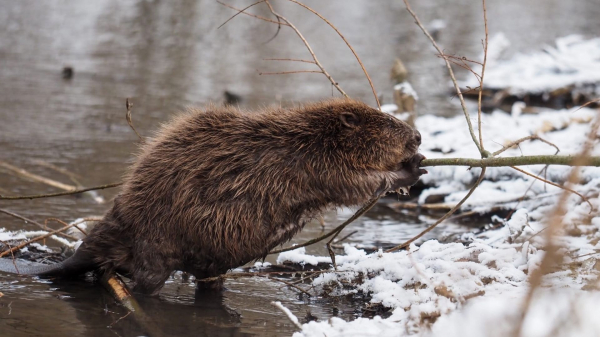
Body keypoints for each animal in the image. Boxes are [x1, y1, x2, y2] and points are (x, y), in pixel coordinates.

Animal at [0, 98, 424, 294]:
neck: (305, 136)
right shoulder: (312, 163)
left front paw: (418, 163)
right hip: (155, 248)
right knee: (145, 281)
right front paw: (409, 169)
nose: (418, 137)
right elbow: (353, 183)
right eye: (389, 122)